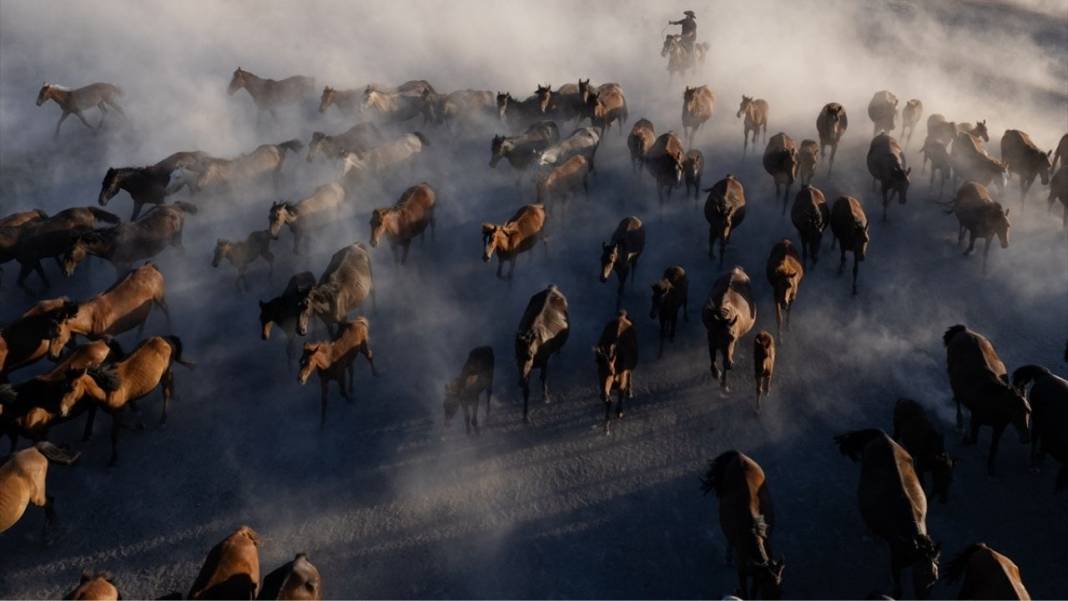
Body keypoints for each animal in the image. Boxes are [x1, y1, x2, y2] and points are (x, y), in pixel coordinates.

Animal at [514, 286, 568, 420]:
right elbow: (526, 391)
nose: (520, 382)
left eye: (529, 356)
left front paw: (546, 397)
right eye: (516, 357)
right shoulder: (525, 371)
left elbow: (543, 378)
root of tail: (552, 287)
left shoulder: (544, 361)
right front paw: (525, 416)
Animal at [700, 454, 786, 597]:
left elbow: (753, 591)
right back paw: (728, 558)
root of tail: (738, 455)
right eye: (766, 592)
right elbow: (746, 592)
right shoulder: (742, 573)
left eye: (780, 591)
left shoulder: (756, 575)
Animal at [833, 431, 935, 597]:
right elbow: (897, 586)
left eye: (934, 579)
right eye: (922, 575)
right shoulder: (896, 560)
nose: (924, 595)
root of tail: (883, 436)